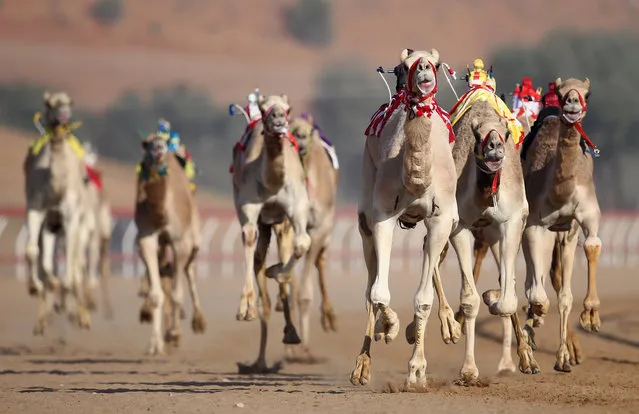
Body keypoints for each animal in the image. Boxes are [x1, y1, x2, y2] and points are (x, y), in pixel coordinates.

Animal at [23, 92, 92, 334]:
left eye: (69, 103)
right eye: (49, 103)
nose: (63, 115)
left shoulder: (70, 217)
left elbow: (71, 267)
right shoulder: (36, 208)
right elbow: (32, 252)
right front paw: (35, 287)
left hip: (78, 225)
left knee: (78, 265)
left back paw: (81, 317)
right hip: (53, 227)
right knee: (51, 261)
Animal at [134, 133, 205, 356]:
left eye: (163, 143)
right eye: (147, 144)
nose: (158, 149)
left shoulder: (181, 241)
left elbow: (176, 294)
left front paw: (174, 334)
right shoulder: (146, 238)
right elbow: (157, 294)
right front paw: (154, 344)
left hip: (193, 242)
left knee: (189, 272)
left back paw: (198, 322)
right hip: (162, 246)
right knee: (164, 274)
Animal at [352, 49, 462, 388]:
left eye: (435, 63)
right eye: (403, 65)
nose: (423, 68)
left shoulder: (442, 218)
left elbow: (423, 299)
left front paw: (416, 371)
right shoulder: (382, 215)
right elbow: (377, 293)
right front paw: (390, 328)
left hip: (447, 220)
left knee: (431, 253)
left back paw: (445, 327)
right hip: (365, 207)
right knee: (369, 285)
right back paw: (363, 364)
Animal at [520, 77, 600, 372]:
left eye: (588, 92)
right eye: (562, 91)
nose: (573, 103)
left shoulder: (584, 216)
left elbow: (592, 246)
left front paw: (591, 315)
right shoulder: (534, 223)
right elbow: (537, 292)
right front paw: (536, 314)